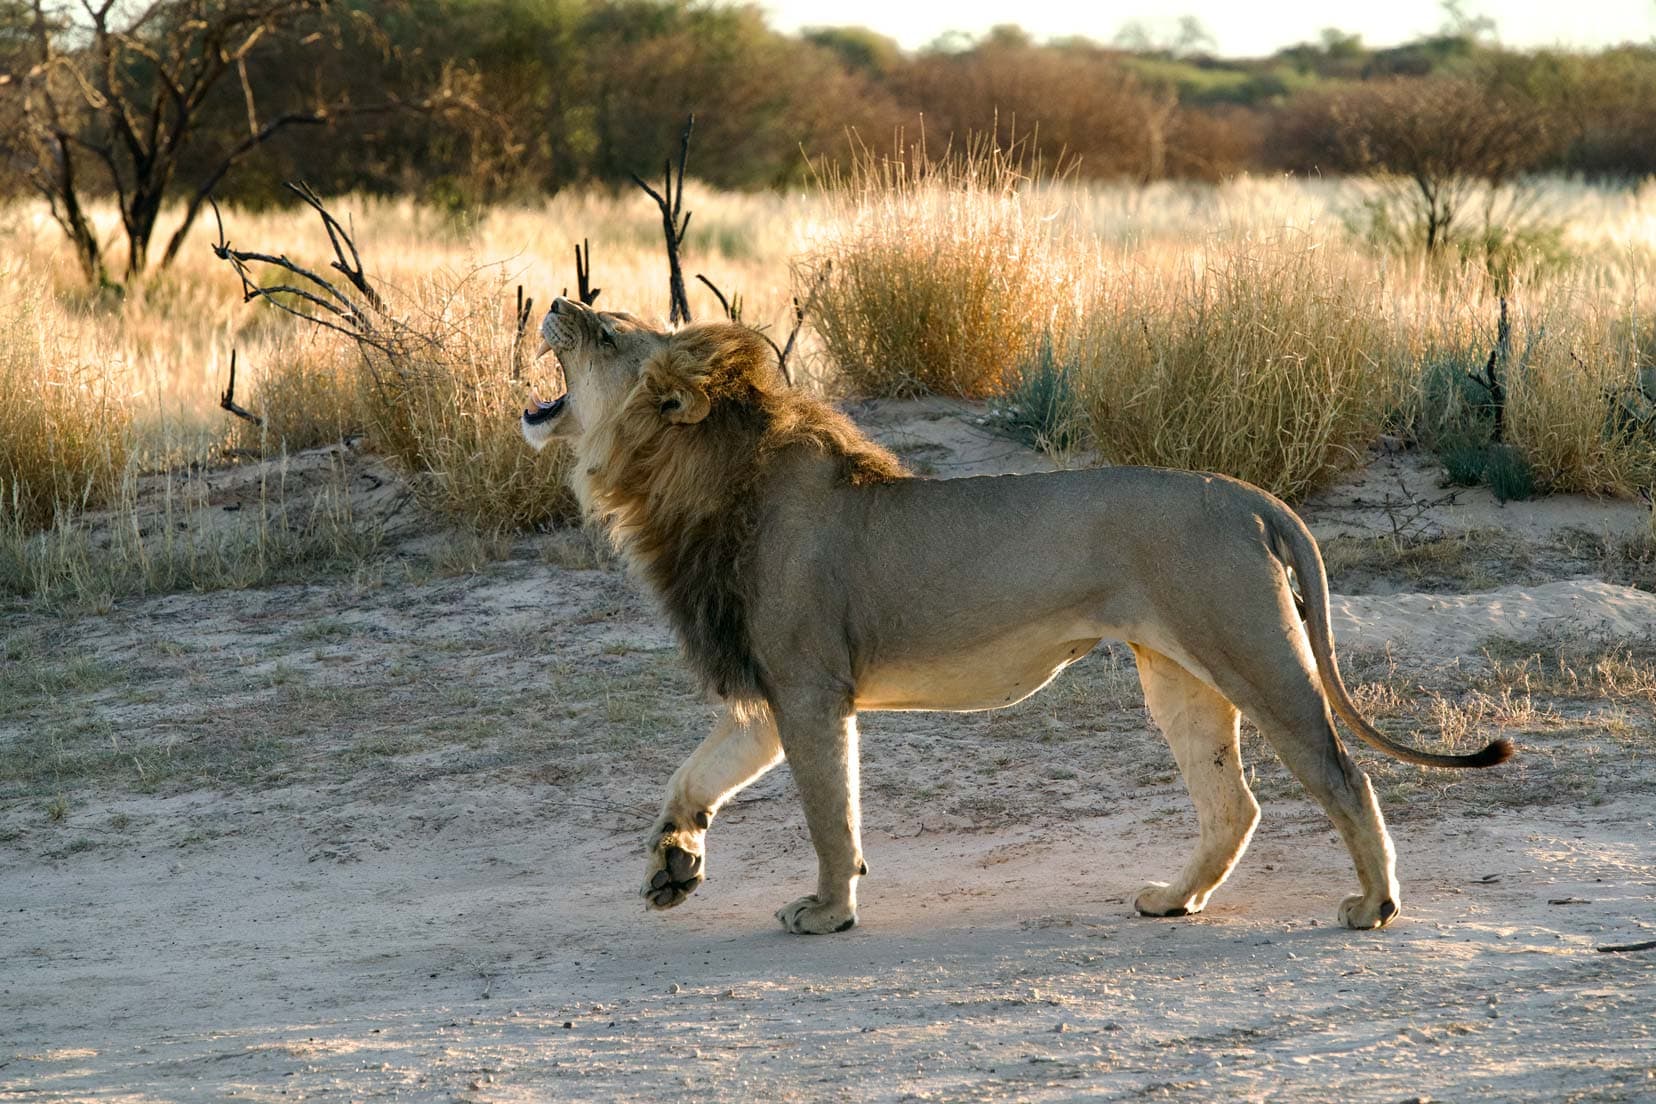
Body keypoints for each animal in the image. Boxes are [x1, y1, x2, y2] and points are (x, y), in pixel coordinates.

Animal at [519, 297, 1516, 940]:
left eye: (604, 329)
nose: (558, 298)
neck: (688, 479)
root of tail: (1246, 495)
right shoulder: (771, 694)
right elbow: (694, 773)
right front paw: (673, 865)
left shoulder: (808, 687)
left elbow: (830, 813)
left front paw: (829, 911)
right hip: (1178, 675)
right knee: (1233, 803)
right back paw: (1174, 899)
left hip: (1255, 653)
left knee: (1343, 776)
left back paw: (1374, 907)